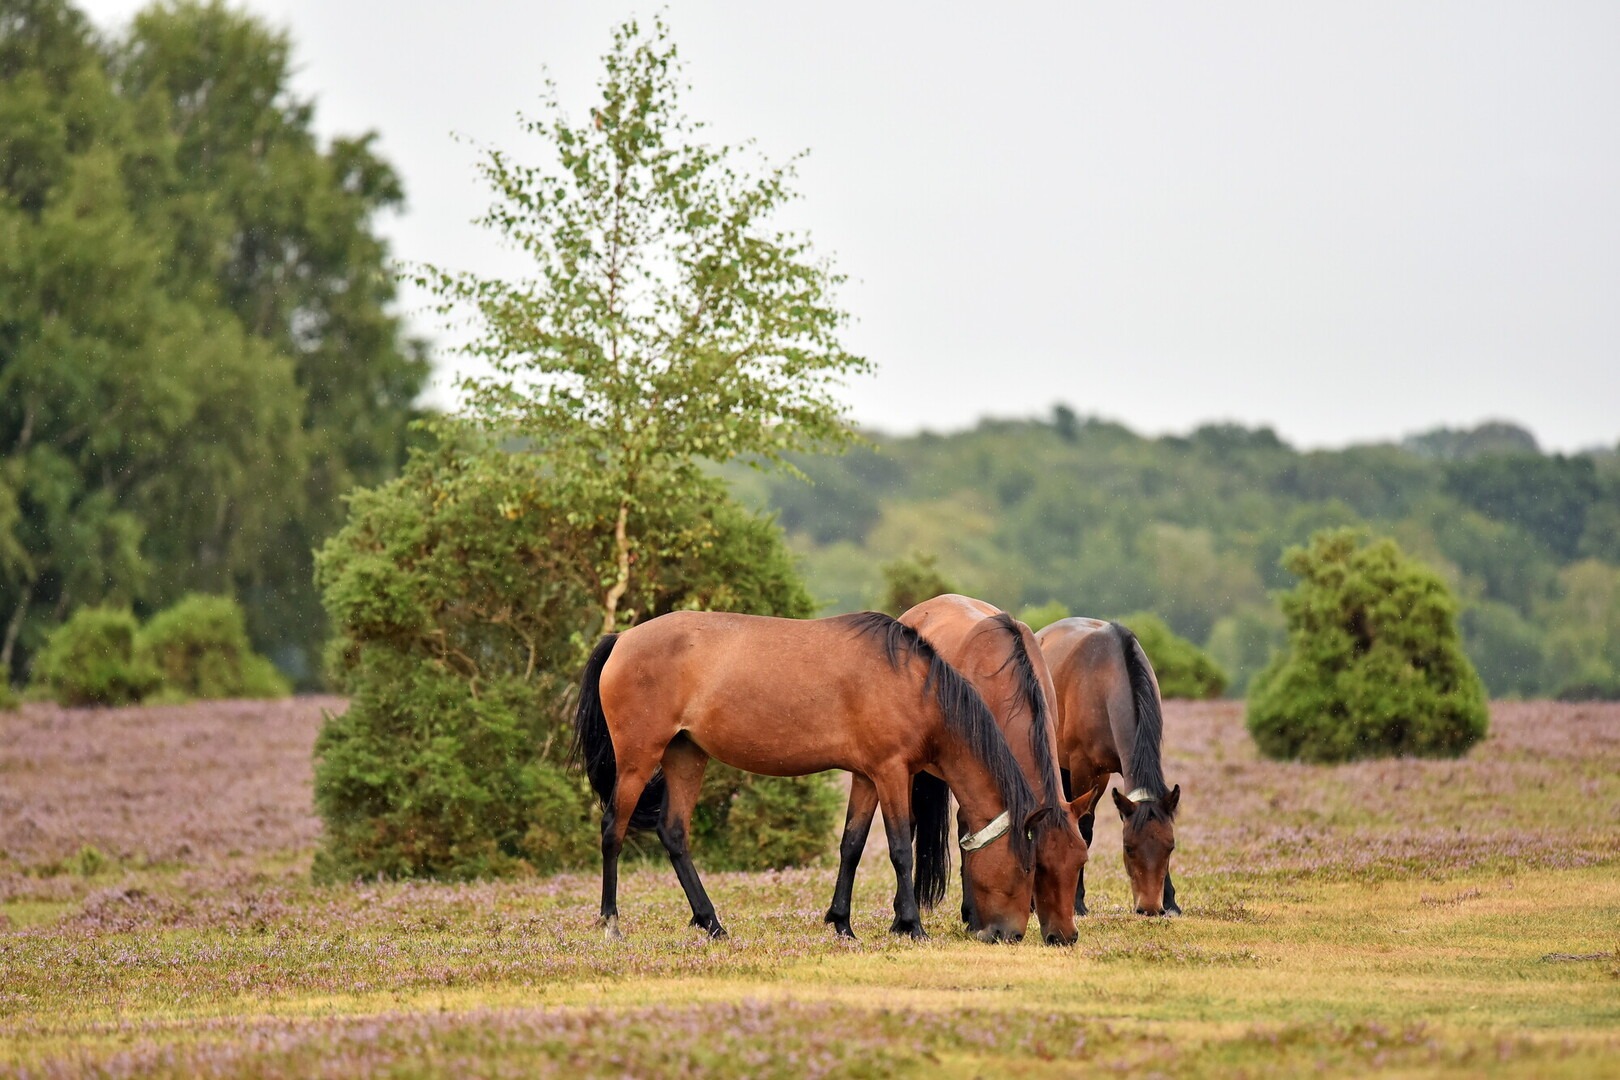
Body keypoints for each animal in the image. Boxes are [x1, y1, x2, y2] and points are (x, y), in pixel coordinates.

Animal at [573, 609, 1044, 942]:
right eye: (1027, 868)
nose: (1010, 935)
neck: (913, 685)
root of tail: (621, 639)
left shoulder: (866, 777)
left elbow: (852, 846)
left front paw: (842, 923)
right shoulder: (892, 772)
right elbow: (899, 850)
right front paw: (911, 925)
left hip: (685, 756)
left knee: (673, 833)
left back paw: (711, 922)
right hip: (637, 759)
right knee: (613, 830)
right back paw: (611, 922)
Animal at [1035, 617, 1182, 916]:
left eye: (1170, 847)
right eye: (1128, 847)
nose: (1150, 908)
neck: (1107, 677)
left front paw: (1171, 901)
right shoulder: (1086, 768)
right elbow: (1084, 828)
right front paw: (1077, 902)